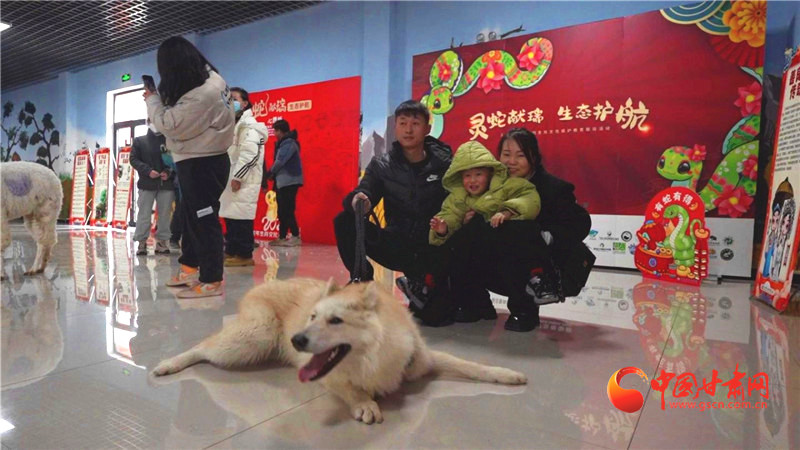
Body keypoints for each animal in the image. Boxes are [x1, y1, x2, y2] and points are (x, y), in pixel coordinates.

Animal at [152, 278, 527, 424]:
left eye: (335, 321)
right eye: (312, 317)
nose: (297, 341)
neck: (376, 355)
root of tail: (267, 282)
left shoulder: (425, 359)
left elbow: (472, 365)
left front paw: (506, 375)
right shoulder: (329, 379)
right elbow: (352, 389)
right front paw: (366, 403)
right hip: (252, 339)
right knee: (202, 347)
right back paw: (170, 363)